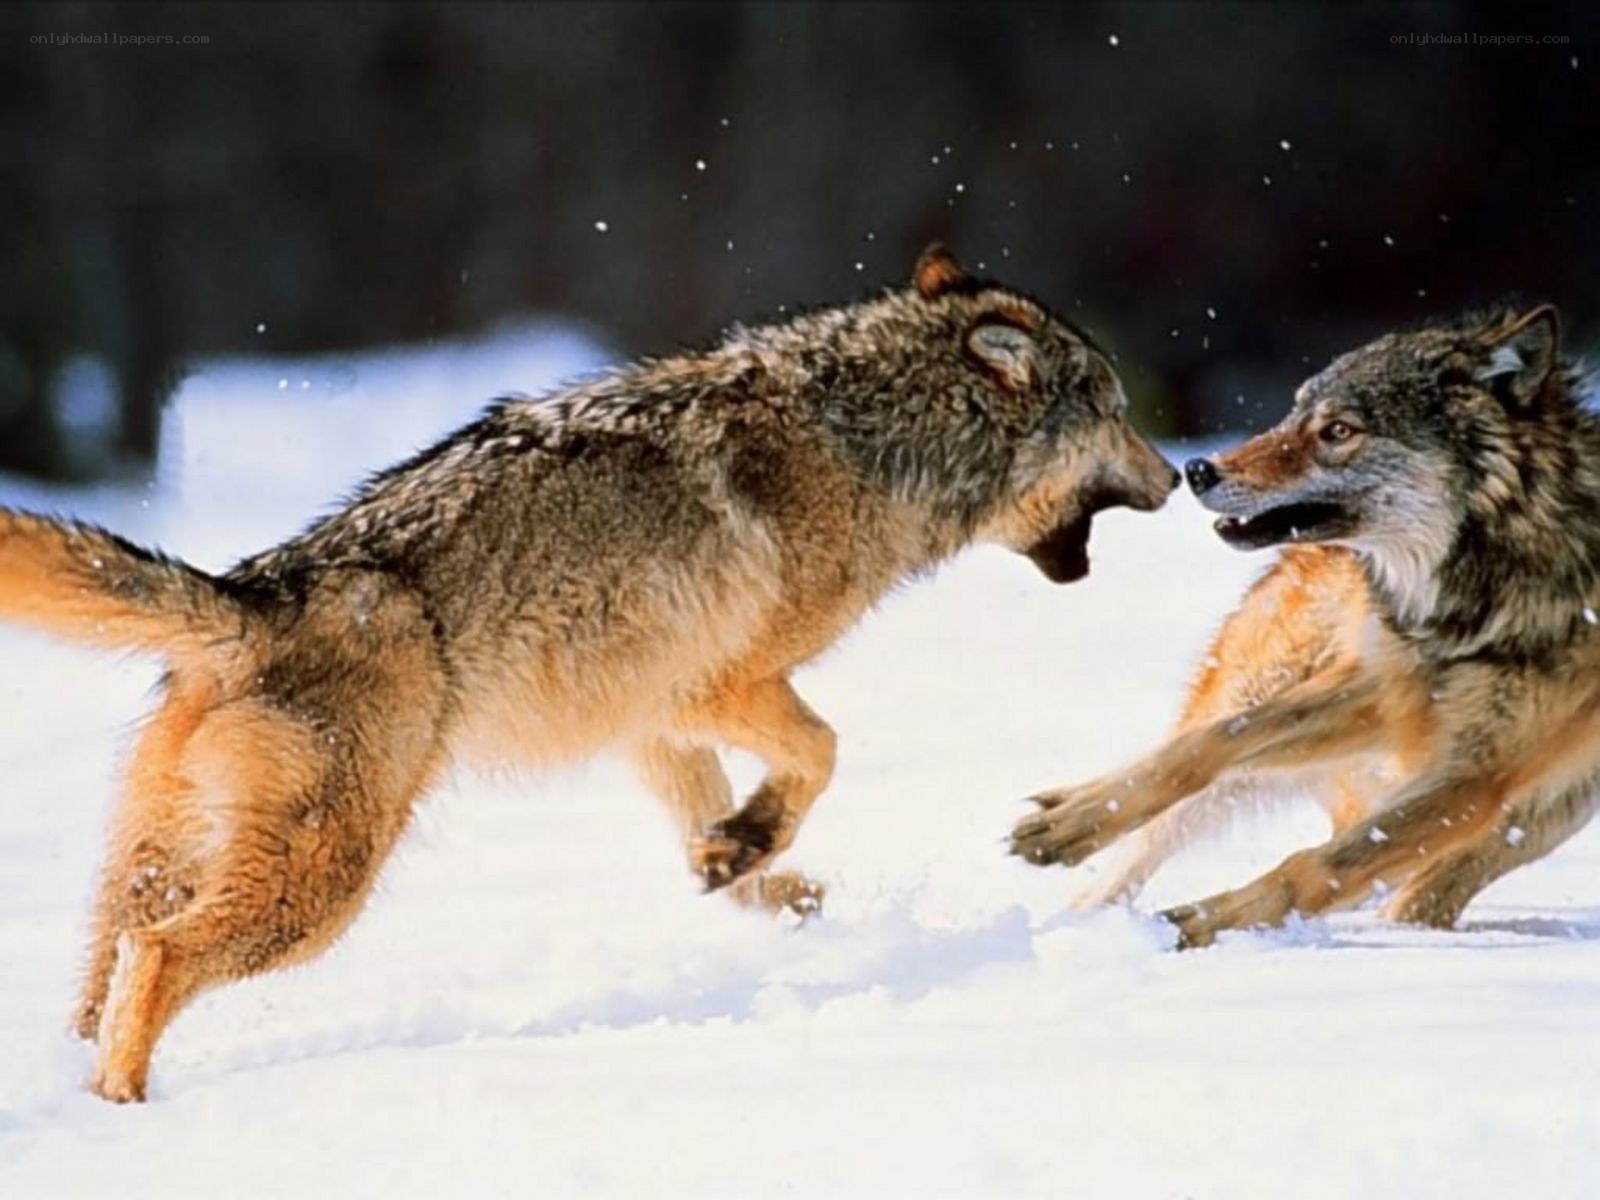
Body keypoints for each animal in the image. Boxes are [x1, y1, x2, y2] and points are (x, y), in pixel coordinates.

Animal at [0, 246, 1178, 1100]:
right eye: (1118, 410)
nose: (1176, 479)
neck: (867, 442)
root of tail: (259, 592)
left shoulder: (647, 717)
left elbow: (723, 819)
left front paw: (744, 866)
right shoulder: (716, 684)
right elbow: (825, 752)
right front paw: (753, 852)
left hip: (163, 863)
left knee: (104, 975)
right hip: (316, 890)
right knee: (159, 958)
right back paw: (127, 1108)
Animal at [1012, 305, 1600, 948]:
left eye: (1339, 431)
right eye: (1295, 412)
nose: (1198, 469)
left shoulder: (1480, 772)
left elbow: (1318, 868)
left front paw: (1201, 924)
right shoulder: (1381, 688)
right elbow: (1213, 742)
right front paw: (1072, 822)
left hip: (1555, 803)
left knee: (1424, 881)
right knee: (1157, 826)